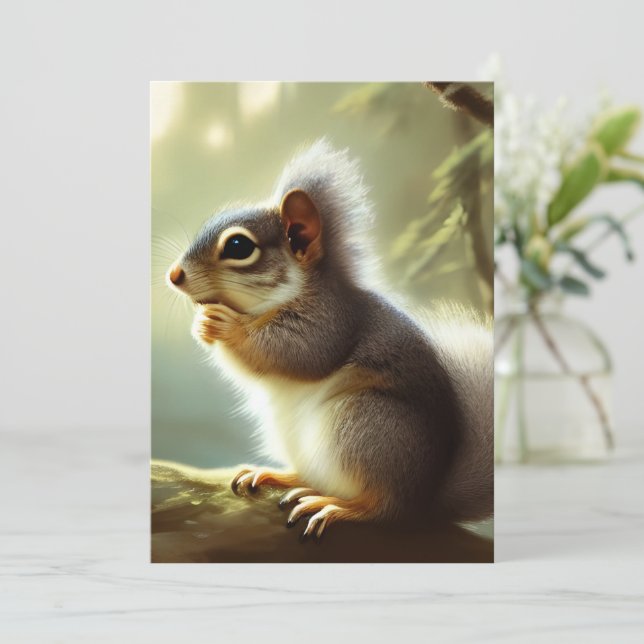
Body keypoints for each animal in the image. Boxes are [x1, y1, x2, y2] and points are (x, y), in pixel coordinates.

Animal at [166, 140, 493, 540]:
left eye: (239, 246)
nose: (174, 275)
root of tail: (425, 501)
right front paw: (203, 323)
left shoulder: (332, 320)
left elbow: (299, 353)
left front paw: (224, 325)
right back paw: (278, 474)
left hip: (367, 425)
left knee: (384, 507)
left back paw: (338, 507)